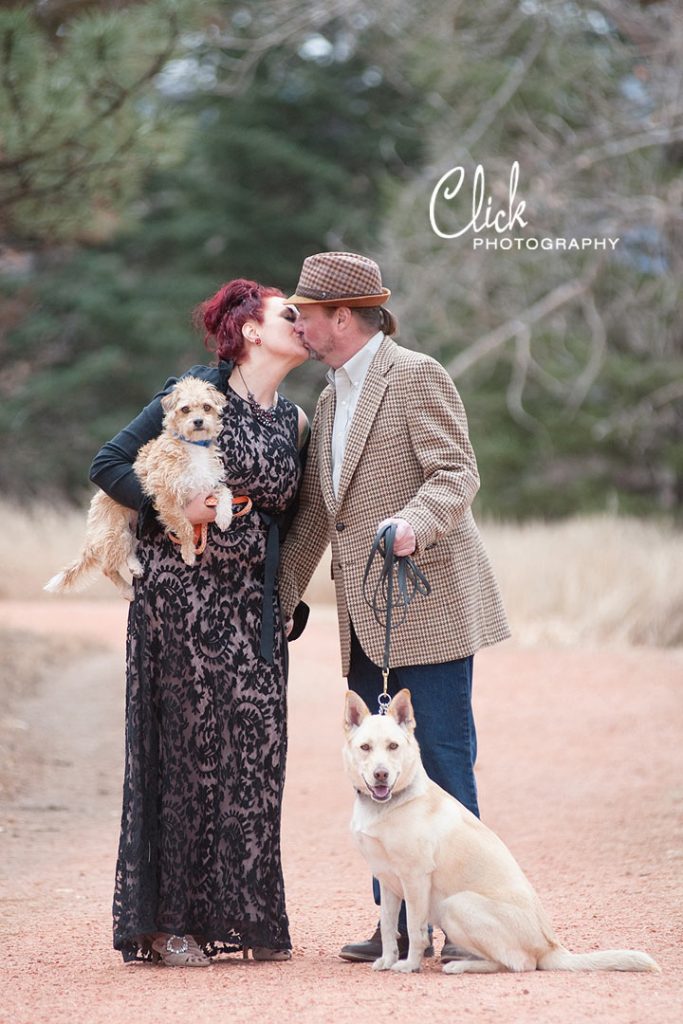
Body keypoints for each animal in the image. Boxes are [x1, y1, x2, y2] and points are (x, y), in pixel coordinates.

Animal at [45, 376, 233, 598]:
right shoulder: (166, 499)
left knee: (128, 552)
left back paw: (135, 567)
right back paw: (127, 590)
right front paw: (188, 553)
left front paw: (224, 517)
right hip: (116, 534)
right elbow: (185, 527)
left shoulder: (206, 486)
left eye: (206, 407)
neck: (193, 446)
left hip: (131, 530)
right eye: (185, 409)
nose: (198, 421)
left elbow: (225, 491)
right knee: (107, 568)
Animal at [344, 688, 659, 974]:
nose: (381, 774)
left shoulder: (415, 879)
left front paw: (409, 965)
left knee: (518, 964)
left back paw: (460, 965)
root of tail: (550, 947)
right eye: (366, 747)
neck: (389, 804)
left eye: (393, 746)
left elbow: (414, 928)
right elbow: (389, 927)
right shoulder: (387, 881)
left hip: (454, 905)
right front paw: (386, 960)